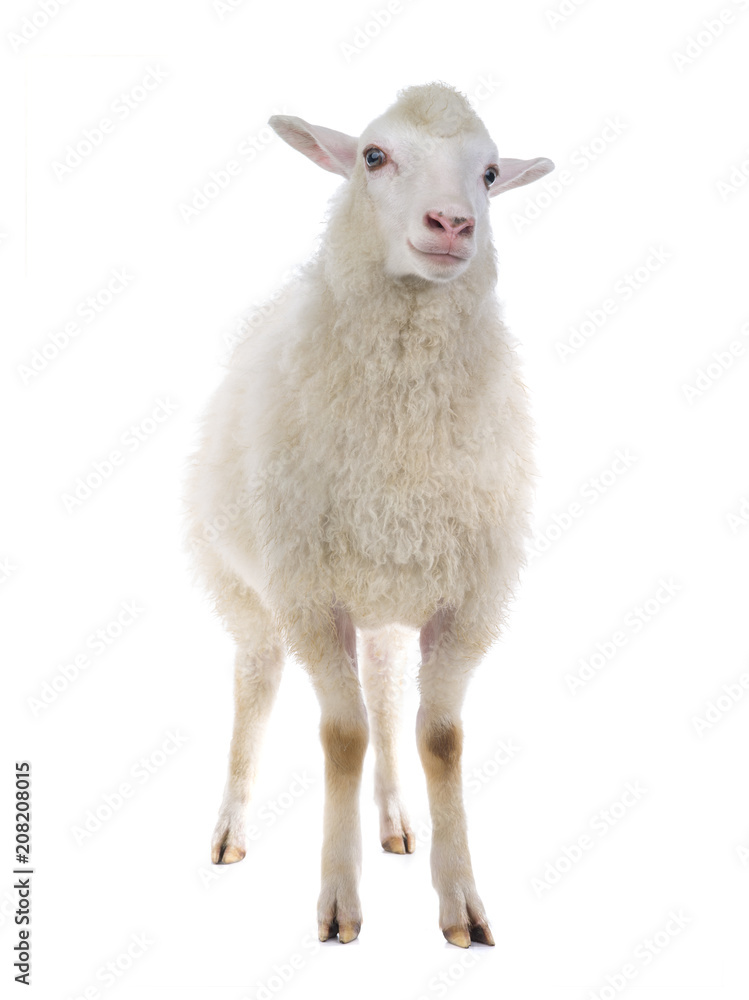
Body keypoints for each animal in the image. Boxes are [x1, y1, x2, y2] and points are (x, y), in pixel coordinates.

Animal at [185, 82, 554, 947]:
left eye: (490, 173)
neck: (400, 448)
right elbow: (341, 736)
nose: (451, 223)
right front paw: (337, 902)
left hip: (384, 602)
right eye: (373, 157)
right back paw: (230, 828)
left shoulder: (467, 602)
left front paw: (460, 903)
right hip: (246, 593)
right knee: (256, 691)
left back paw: (393, 819)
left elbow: (438, 738)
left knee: (386, 702)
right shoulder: (310, 597)